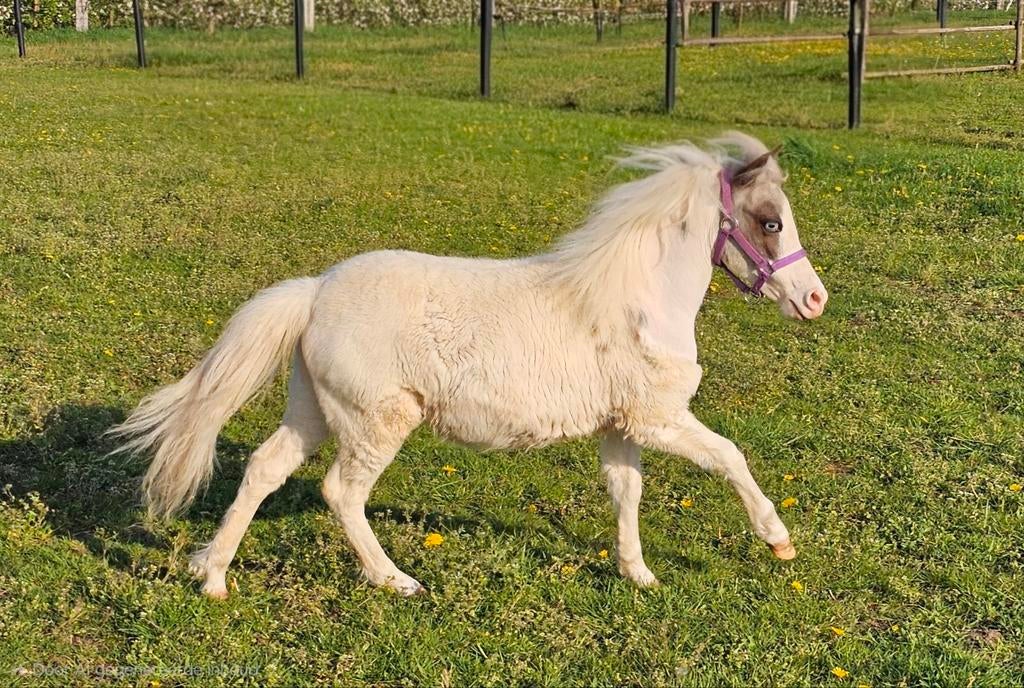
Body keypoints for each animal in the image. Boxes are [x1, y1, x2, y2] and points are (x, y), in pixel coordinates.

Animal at [110, 132, 828, 599]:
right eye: (770, 222)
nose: (815, 300)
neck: (634, 301)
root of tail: (315, 291)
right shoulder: (660, 419)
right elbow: (731, 456)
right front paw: (779, 540)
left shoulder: (621, 426)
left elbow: (627, 492)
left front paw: (639, 574)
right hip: (377, 421)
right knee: (341, 492)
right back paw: (396, 581)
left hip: (313, 409)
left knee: (264, 469)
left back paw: (213, 576)